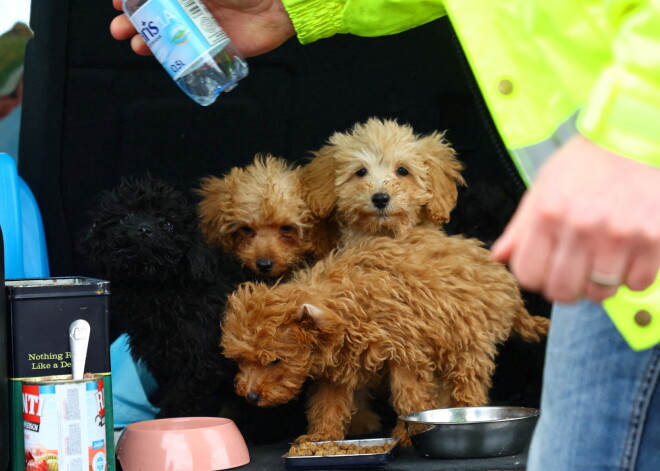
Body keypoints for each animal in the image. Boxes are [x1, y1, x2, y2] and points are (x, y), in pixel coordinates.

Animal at [78, 175, 248, 418]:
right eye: (126, 217)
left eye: (167, 224)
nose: (144, 229)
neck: (157, 290)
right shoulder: (161, 355)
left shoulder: (201, 362)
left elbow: (184, 399)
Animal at [219, 228, 548, 446]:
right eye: (240, 360)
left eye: (275, 360)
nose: (251, 396)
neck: (347, 303)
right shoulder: (336, 369)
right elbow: (328, 404)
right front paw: (321, 436)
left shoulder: (405, 354)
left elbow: (409, 398)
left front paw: (410, 432)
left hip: (469, 340)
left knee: (469, 380)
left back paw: (468, 409)